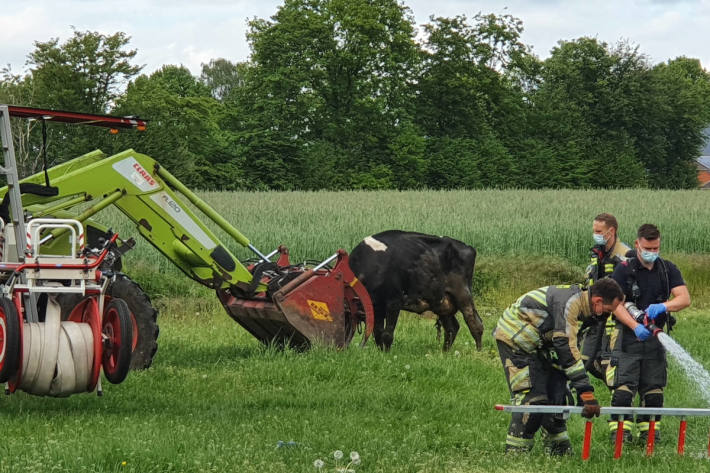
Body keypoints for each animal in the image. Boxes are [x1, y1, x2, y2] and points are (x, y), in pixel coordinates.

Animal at [350, 229, 484, 350]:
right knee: (452, 328)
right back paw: (444, 353)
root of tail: (468, 247)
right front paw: (381, 353)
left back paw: (478, 353)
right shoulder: (377, 305)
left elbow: (387, 334)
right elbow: (378, 333)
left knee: (475, 323)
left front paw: (386, 354)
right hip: (441, 302)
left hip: (463, 294)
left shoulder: (394, 301)